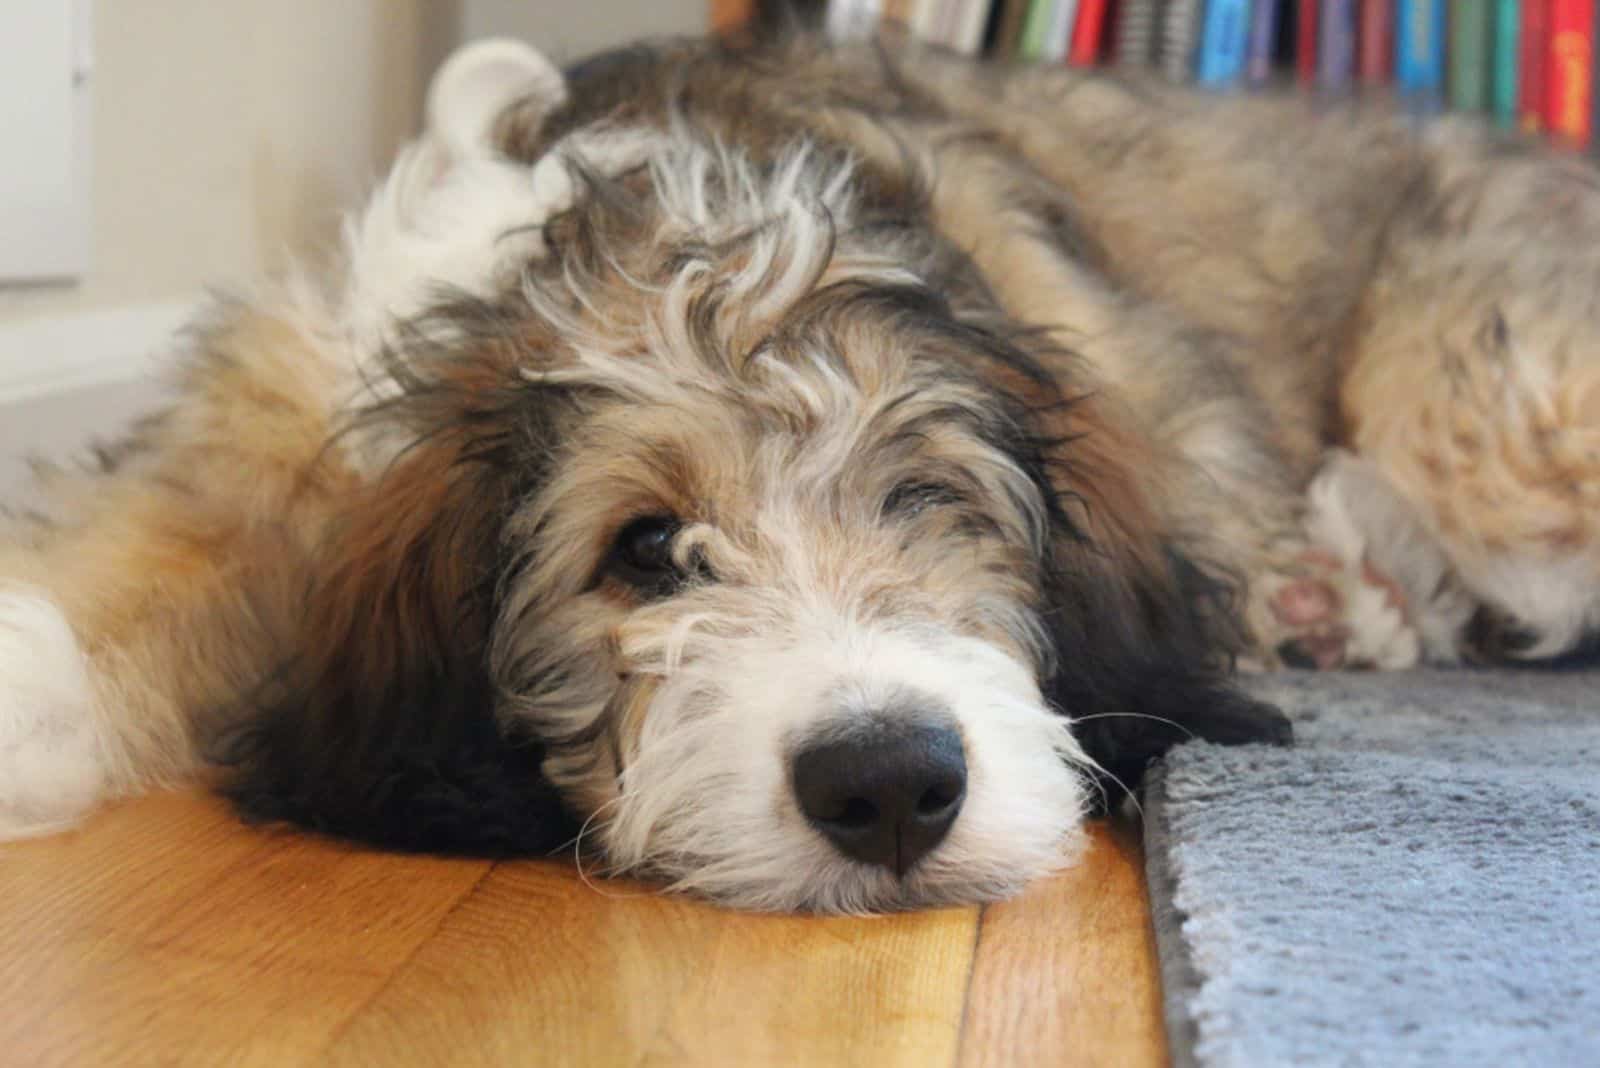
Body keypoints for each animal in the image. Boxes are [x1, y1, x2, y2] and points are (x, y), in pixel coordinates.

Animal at [3, 29, 1600, 908]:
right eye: (645, 549)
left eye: (927, 500)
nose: (889, 784)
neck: (669, 224)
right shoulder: (280, 414)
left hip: (1481, 397)